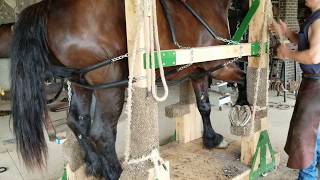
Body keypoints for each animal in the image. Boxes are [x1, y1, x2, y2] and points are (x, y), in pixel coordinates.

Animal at [10, 0, 248, 179]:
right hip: (110, 86)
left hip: (80, 84)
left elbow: (204, 105)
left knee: (78, 122)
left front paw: (212, 138)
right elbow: (243, 78)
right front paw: (243, 106)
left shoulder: (198, 70)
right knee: (102, 132)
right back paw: (115, 172)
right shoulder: (219, 65)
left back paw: (94, 165)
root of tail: (48, 6)